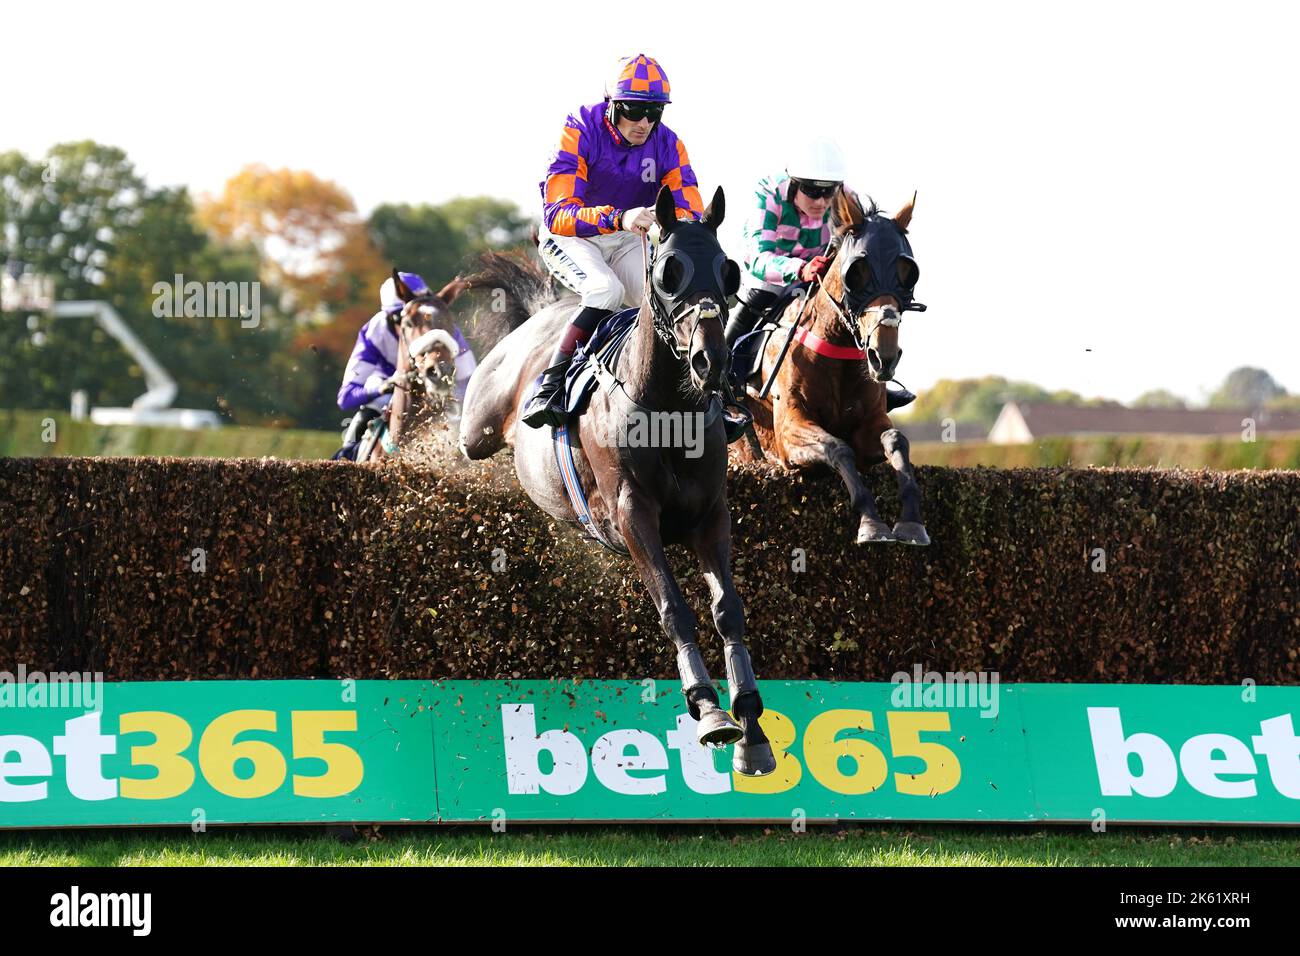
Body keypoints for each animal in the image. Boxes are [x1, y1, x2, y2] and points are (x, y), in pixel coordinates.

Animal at [462, 184, 774, 780]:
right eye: (669, 272)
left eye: (728, 271)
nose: (712, 361)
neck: (669, 408)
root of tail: (542, 313)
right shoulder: (632, 515)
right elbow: (673, 606)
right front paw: (708, 710)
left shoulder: (711, 514)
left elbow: (728, 609)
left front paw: (751, 726)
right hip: (477, 428)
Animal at [738, 189, 930, 546]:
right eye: (857, 272)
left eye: (907, 272)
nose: (883, 358)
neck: (835, 348)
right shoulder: (789, 432)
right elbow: (837, 448)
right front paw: (871, 522)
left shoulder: (870, 424)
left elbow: (896, 440)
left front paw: (911, 523)